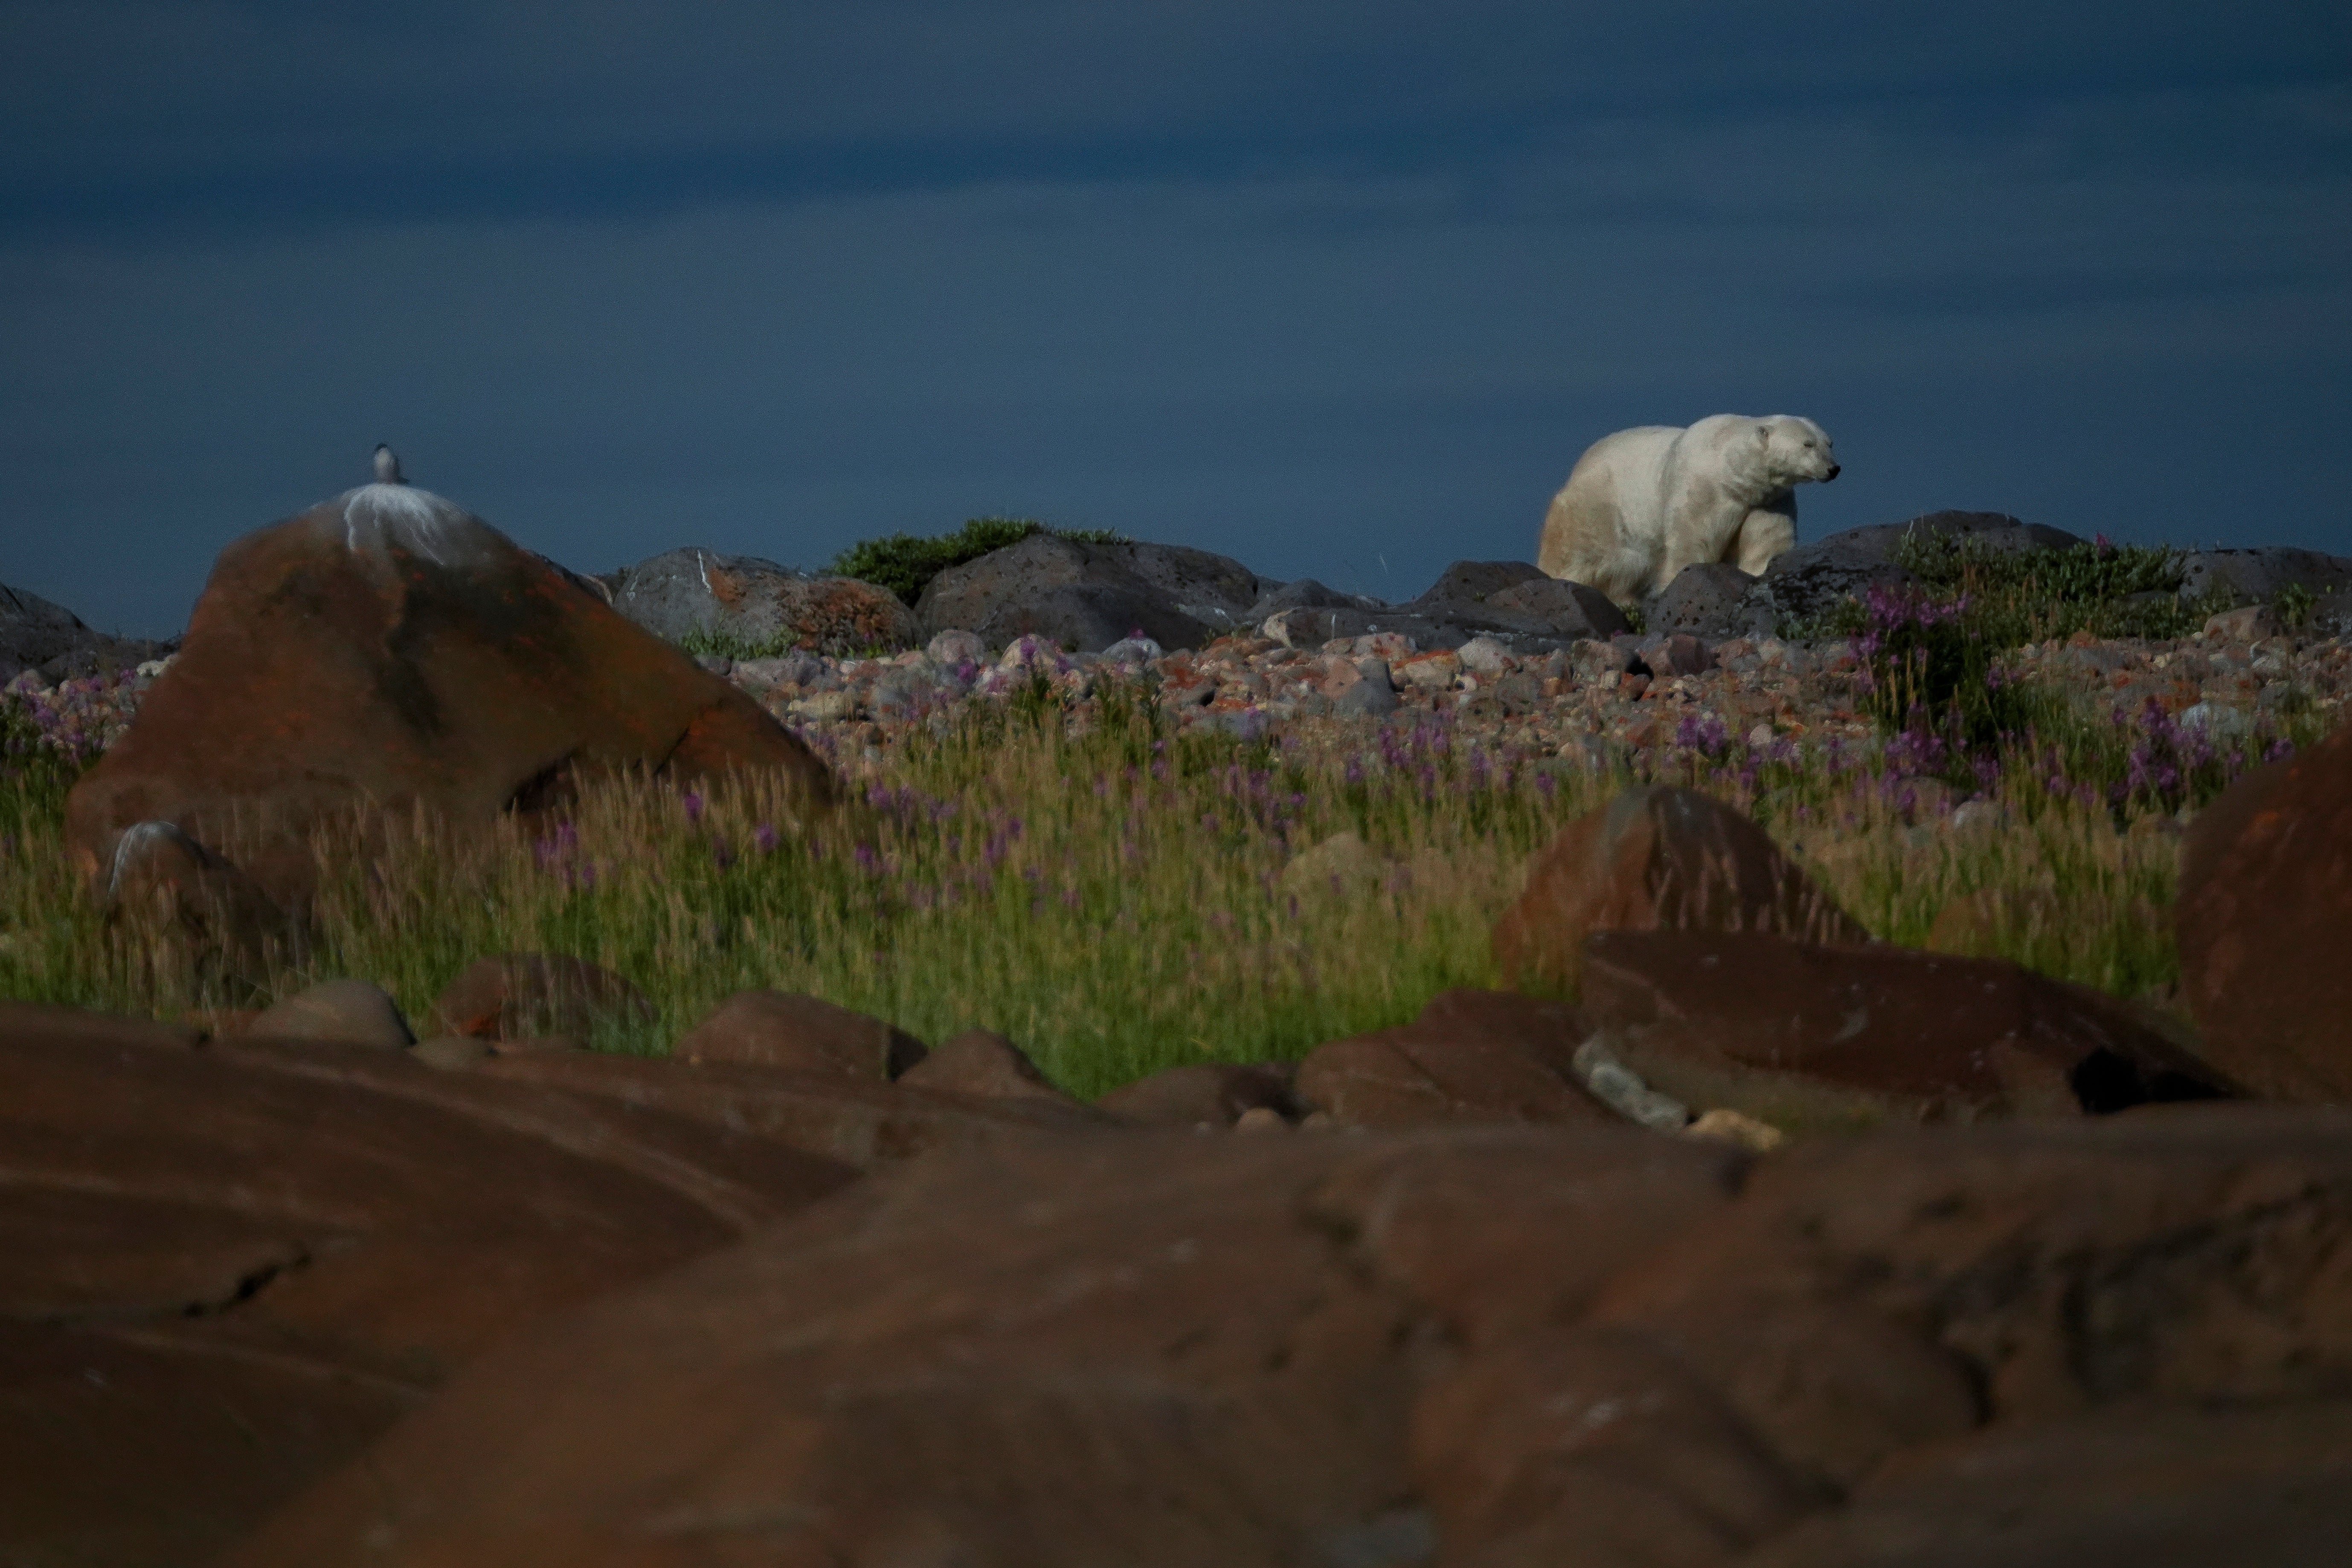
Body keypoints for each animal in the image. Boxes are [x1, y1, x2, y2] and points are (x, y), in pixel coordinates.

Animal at [1533, 411, 1844, 606]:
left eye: (1830, 443)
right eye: (1808, 444)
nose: (1834, 469)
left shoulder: (1766, 500)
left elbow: (1766, 542)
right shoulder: (1703, 488)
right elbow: (1693, 539)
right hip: (1599, 505)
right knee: (1599, 555)